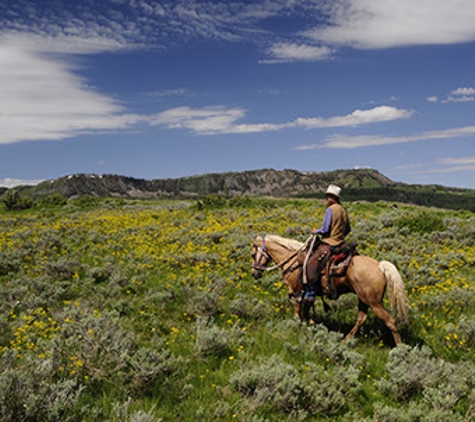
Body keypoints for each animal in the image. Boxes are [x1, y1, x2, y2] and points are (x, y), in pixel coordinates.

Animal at [251, 232, 410, 344]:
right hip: (364, 300)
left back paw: (399, 348)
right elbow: (305, 309)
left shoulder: (295, 291)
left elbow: (298, 310)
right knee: (361, 318)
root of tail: (380, 266)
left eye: (253, 254)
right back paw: (345, 340)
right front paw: (312, 324)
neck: (292, 260)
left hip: (374, 302)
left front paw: (301, 325)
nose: (254, 273)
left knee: (390, 321)